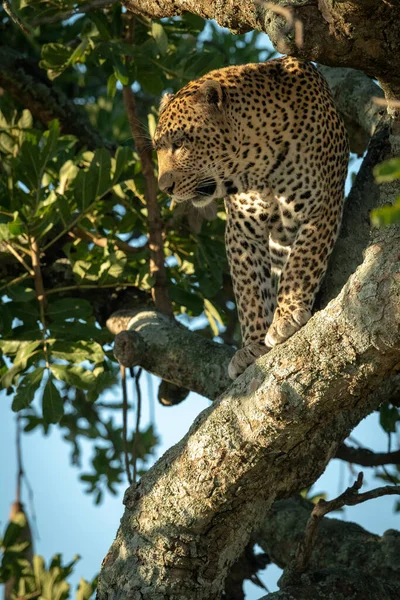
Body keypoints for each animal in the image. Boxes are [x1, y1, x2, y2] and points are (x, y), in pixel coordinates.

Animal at [155, 58, 348, 382]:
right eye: (157, 149)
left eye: (180, 143)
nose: (164, 187)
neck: (258, 167)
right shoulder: (241, 231)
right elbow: (250, 292)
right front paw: (252, 346)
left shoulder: (322, 205)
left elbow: (302, 262)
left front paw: (286, 317)